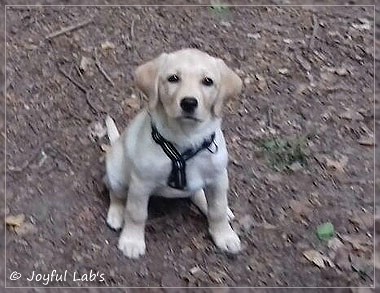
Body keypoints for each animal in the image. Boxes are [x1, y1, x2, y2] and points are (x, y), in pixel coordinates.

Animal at [102, 48, 242, 258]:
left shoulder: (218, 178)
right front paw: (132, 241)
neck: (187, 137)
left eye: (207, 81)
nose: (189, 103)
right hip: (117, 175)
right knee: (116, 194)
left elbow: (216, 209)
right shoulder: (141, 183)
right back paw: (116, 214)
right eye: (173, 78)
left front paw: (225, 236)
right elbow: (136, 213)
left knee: (199, 194)